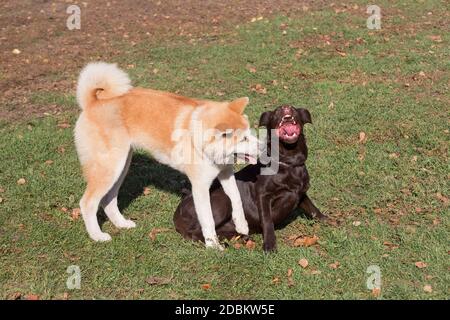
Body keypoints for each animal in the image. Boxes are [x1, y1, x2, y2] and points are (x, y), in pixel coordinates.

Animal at [75, 61, 258, 249]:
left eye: (249, 133)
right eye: (244, 139)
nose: (262, 146)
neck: (200, 142)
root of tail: (92, 103)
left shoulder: (225, 173)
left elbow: (236, 198)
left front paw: (242, 225)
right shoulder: (200, 186)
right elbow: (207, 219)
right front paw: (213, 245)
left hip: (121, 168)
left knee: (108, 200)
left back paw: (122, 223)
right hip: (109, 168)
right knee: (87, 203)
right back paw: (97, 235)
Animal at [173, 104, 326, 250]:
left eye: (294, 109)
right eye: (276, 112)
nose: (285, 107)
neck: (289, 162)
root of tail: (177, 213)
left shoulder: (301, 193)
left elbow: (313, 209)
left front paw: (326, 220)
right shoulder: (263, 196)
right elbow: (267, 221)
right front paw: (269, 245)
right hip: (223, 200)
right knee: (196, 232)